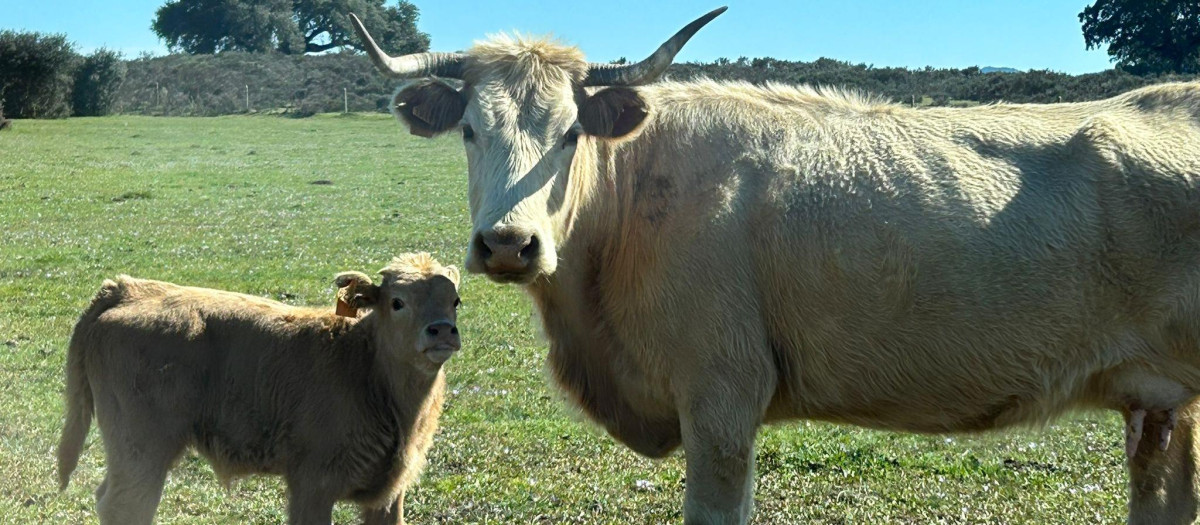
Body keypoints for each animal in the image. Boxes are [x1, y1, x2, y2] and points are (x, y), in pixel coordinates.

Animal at [56, 253, 462, 525]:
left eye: (455, 301)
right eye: (397, 302)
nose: (442, 330)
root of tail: (125, 289)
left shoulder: (388, 495)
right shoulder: (312, 485)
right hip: (142, 451)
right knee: (125, 506)